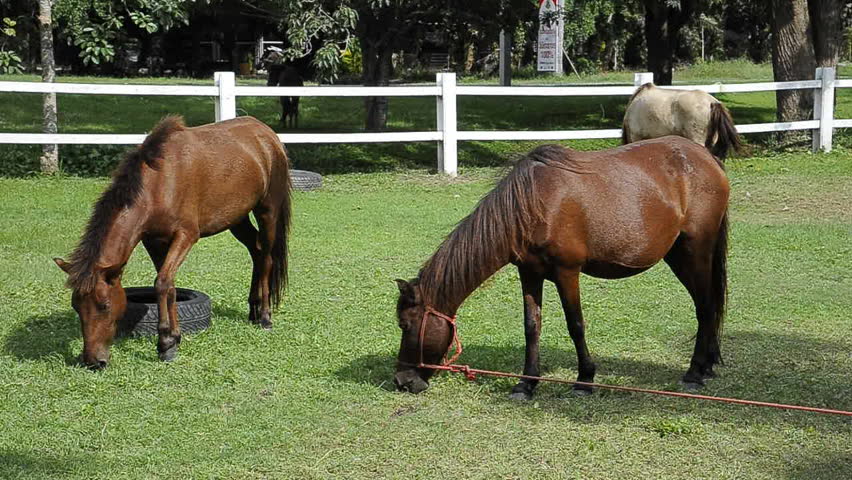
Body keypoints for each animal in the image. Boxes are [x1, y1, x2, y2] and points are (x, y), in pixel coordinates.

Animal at [54, 115, 292, 369]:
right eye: (76, 306)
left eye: (105, 305)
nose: (92, 361)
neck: (159, 183)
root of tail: (267, 134)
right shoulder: (153, 241)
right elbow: (169, 285)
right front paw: (174, 337)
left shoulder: (186, 236)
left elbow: (162, 283)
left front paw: (165, 343)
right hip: (237, 219)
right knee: (255, 251)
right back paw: (253, 308)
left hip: (268, 212)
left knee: (266, 258)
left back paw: (265, 316)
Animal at [393, 136, 730, 399]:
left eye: (405, 325)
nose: (401, 381)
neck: (533, 205)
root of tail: (707, 158)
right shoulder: (529, 273)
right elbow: (532, 326)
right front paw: (526, 384)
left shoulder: (568, 272)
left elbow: (575, 325)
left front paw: (585, 379)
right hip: (678, 256)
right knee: (708, 306)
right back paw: (707, 365)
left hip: (695, 252)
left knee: (705, 306)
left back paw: (695, 372)